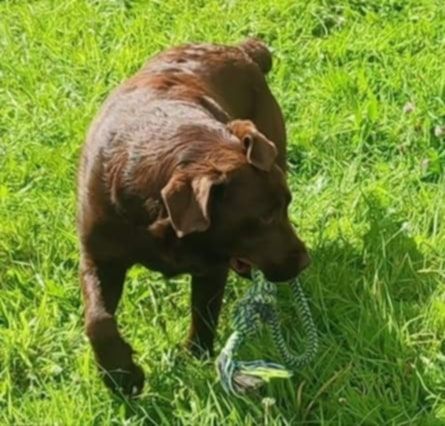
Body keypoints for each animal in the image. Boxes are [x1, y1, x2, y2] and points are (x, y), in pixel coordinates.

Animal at [77, 38, 308, 394]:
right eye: (265, 218)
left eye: (286, 206)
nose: (304, 260)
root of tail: (239, 48)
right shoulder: (99, 255)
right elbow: (98, 320)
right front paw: (122, 375)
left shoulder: (212, 267)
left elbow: (204, 311)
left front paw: (195, 357)